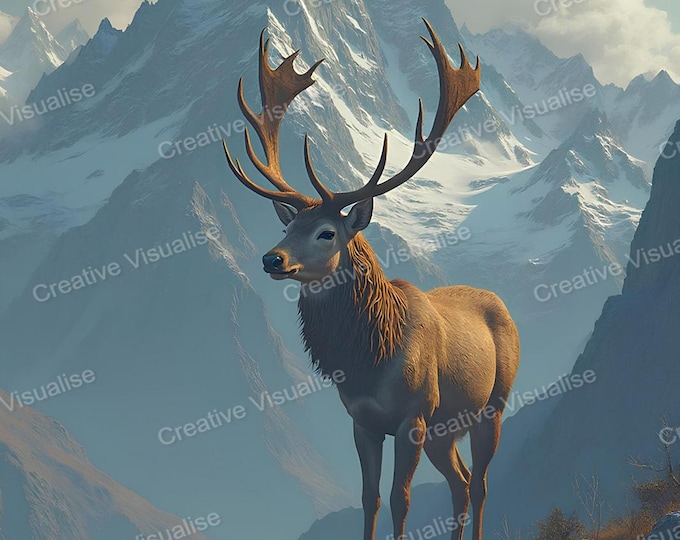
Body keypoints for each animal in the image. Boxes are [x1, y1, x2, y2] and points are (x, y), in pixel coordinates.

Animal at [221, 20, 520, 540]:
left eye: (326, 232)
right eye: (289, 227)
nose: (272, 259)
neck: (371, 356)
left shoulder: (414, 416)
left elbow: (401, 499)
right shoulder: (362, 421)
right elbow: (369, 498)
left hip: (492, 406)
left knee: (480, 482)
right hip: (445, 429)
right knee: (461, 482)